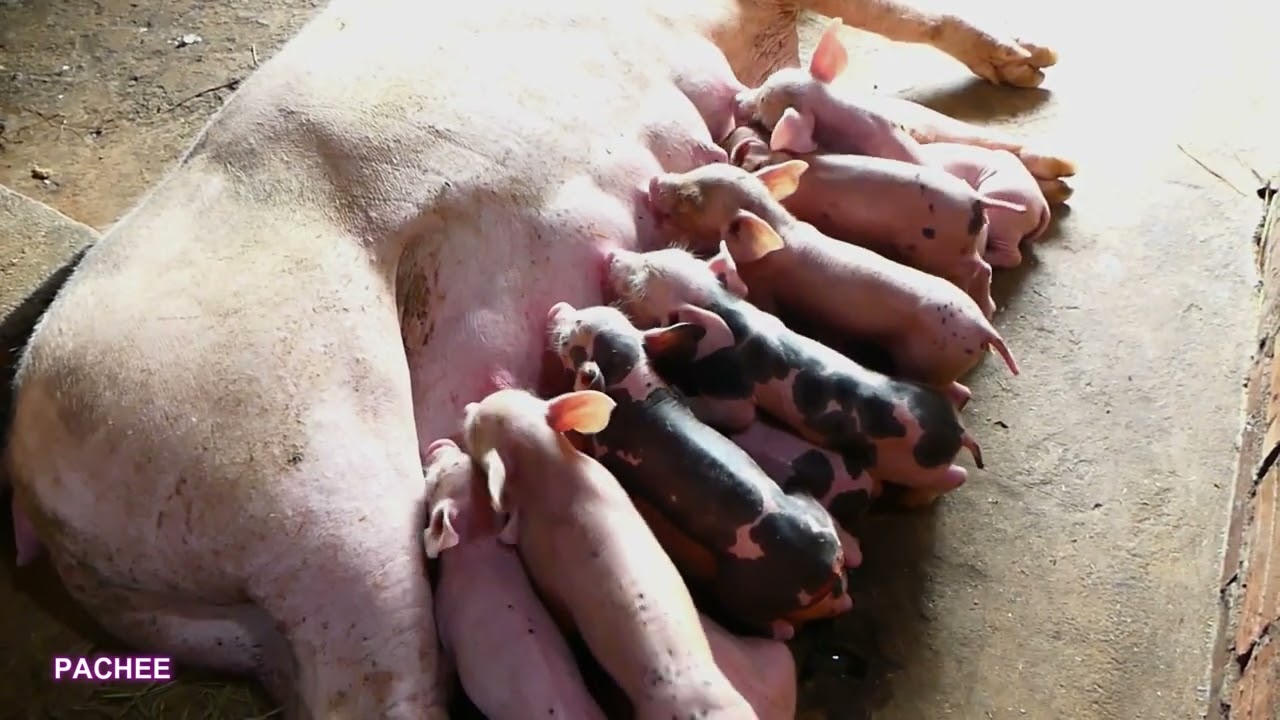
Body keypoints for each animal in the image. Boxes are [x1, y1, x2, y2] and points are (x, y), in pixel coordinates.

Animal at [545, 301, 854, 640]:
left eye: (572, 339)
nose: (558, 307)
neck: (631, 383)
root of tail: (829, 568)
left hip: (743, 590)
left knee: (776, 628)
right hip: (808, 502)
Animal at [606, 245, 984, 507]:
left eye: (640, 286)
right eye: (654, 252)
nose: (611, 255)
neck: (723, 310)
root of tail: (956, 431)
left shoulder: (732, 385)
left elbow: (738, 414)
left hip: (909, 466)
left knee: (958, 475)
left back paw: (910, 502)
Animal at [647, 159, 1018, 389]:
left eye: (693, 200)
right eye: (699, 168)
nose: (653, 180)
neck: (779, 231)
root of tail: (985, 330)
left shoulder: (766, 288)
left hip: (930, 361)